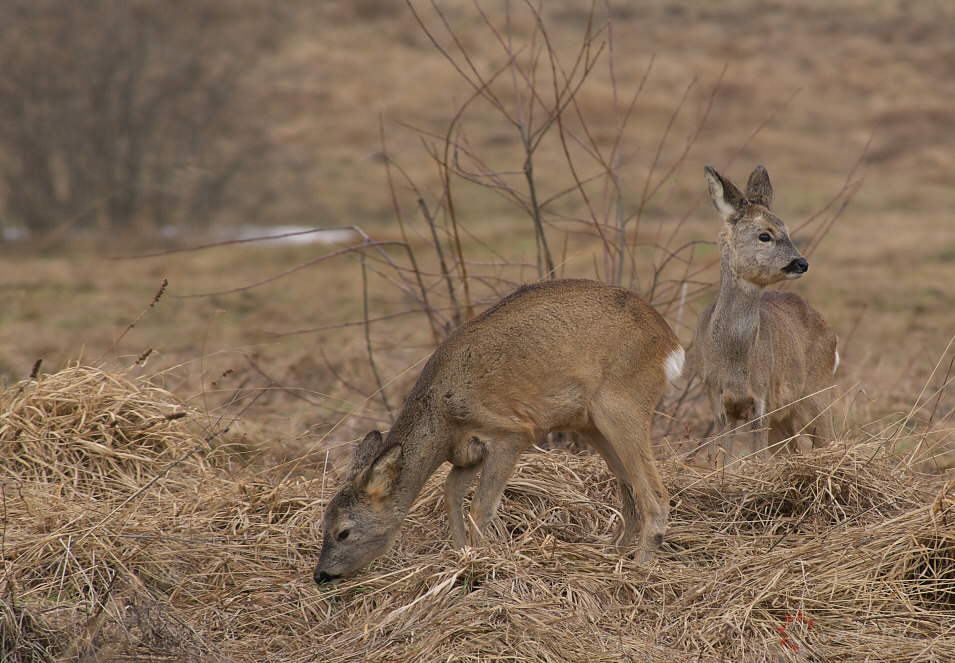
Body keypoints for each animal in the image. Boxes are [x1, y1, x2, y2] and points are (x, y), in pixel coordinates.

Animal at [318, 280, 684, 588]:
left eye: (343, 532)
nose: (320, 575)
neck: (443, 418)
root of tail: (670, 341)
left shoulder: (510, 432)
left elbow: (481, 506)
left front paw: (483, 565)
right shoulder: (466, 454)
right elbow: (451, 494)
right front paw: (461, 556)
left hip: (622, 402)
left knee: (655, 495)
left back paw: (640, 567)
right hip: (589, 422)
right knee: (631, 491)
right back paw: (611, 554)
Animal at [696, 165, 836, 466]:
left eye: (788, 231)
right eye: (764, 235)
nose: (801, 263)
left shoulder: (760, 399)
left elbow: (758, 459)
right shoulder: (718, 401)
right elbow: (723, 460)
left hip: (818, 392)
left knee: (829, 440)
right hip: (785, 416)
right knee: (792, 449)